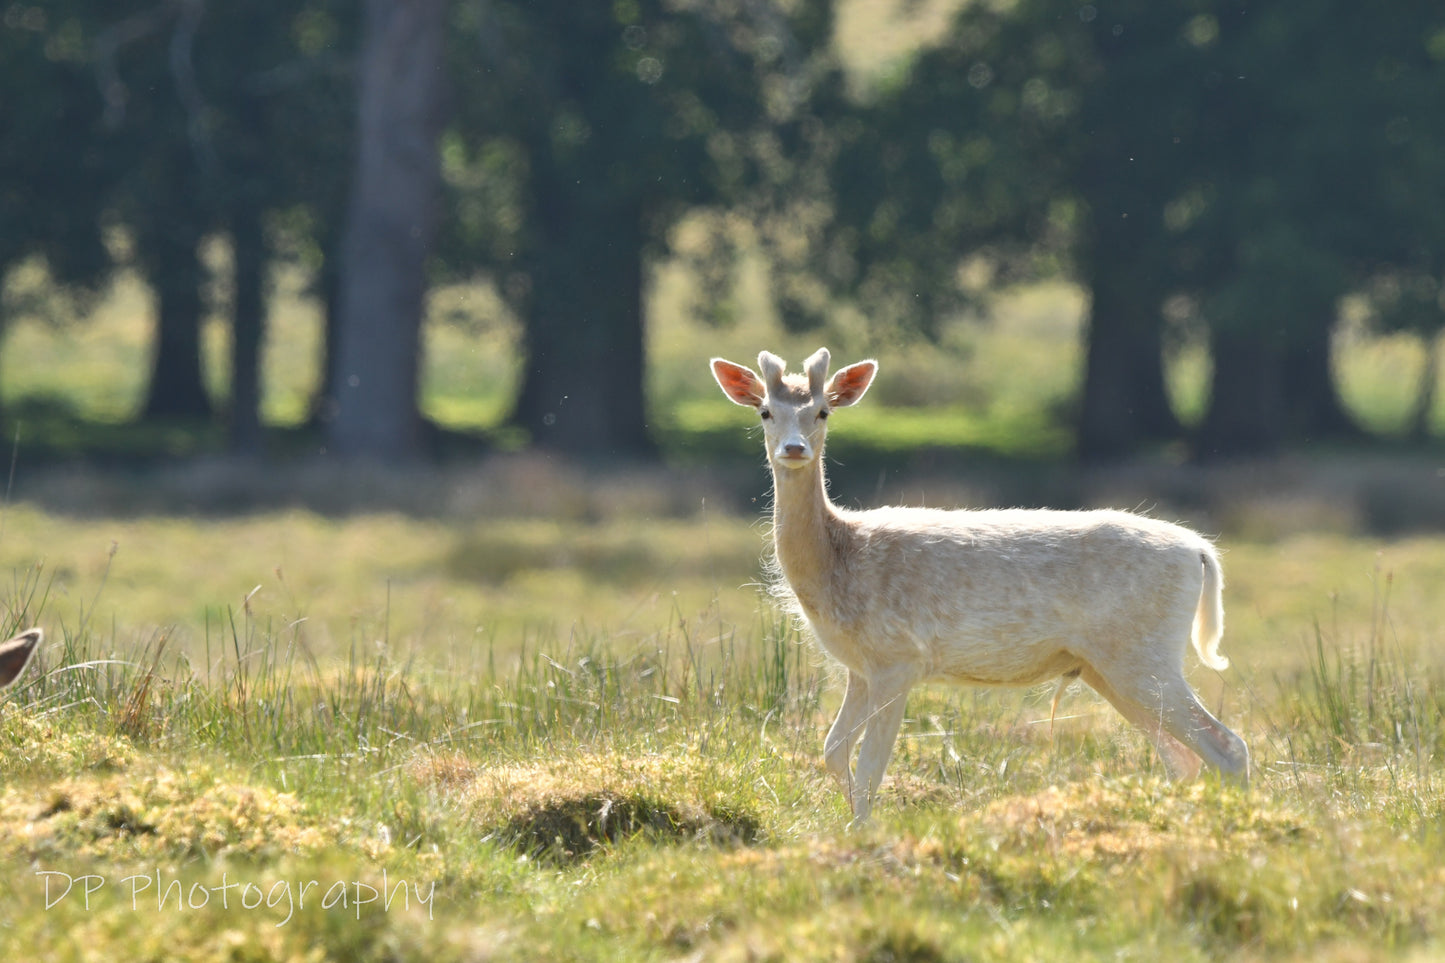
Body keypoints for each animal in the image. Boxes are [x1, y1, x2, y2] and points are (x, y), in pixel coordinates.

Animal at [711, 348, 1249, 821]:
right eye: (765, 411)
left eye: (822, 411)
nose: (794, 449)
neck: (837, 561)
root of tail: (1199, 550)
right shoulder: (859, 667)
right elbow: (831, 751)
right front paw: (849, 821)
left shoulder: (898, 659)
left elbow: (869, 769)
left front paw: (863, 831)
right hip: (1108, 668)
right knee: (1183, 758)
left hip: (1143, 654)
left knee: (1227, 745)